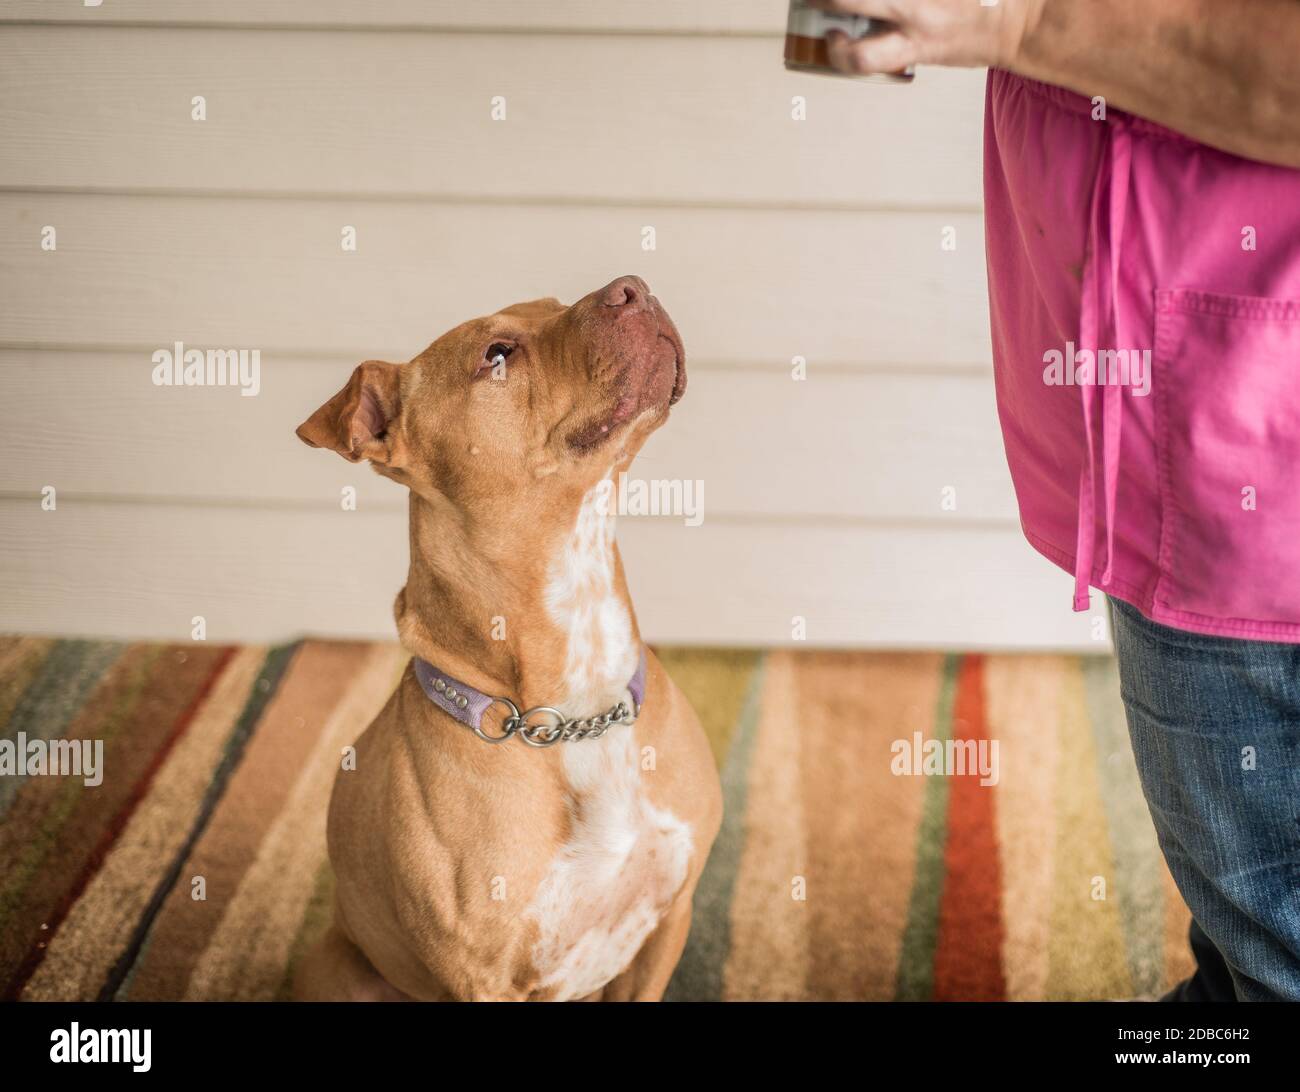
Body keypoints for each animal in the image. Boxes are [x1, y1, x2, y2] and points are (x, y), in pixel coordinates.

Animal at [289, 276, 728, 1003]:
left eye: (553, 306)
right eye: (496, 354)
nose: (632, 287)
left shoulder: (669, 919)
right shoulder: (485, 982)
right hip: (341, 970)